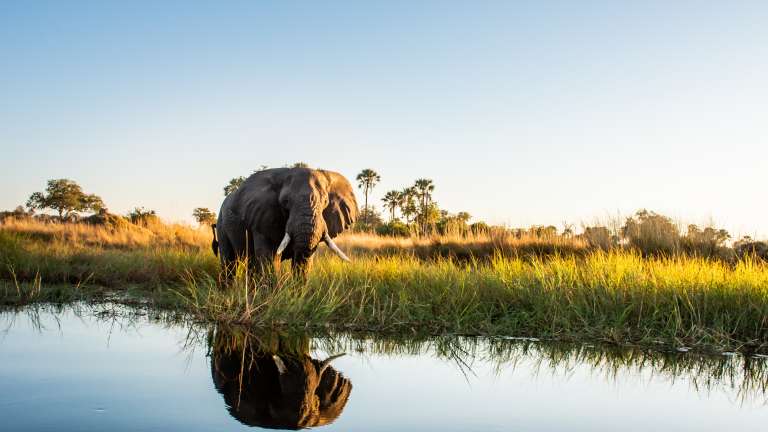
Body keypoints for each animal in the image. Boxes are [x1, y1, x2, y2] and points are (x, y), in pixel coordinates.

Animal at [212, 167, 358, 278]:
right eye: (285, 202)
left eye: (326, 202)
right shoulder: (262, 218)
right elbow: (269, 257)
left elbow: (303, 262)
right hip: (221, 224)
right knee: (229, 261)